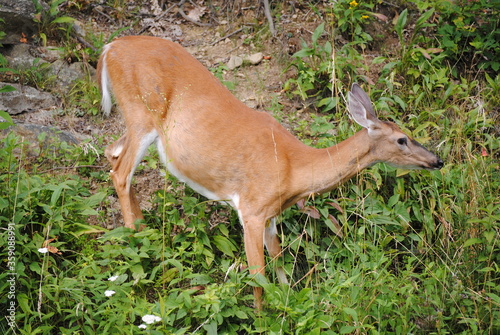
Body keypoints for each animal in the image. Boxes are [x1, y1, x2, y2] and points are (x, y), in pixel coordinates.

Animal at [95, 35, 444, 308]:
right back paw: (133, 240)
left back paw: (142, 226)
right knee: (121, 172)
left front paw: (288, 296)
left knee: (112, 153)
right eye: (402, 139)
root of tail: (109, 48)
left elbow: (277, 258)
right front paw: (263, 316)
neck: (293, 168)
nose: (437, 161)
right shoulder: (251, 209)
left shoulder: (271, 213)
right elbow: (258, 275)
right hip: (141, 112)